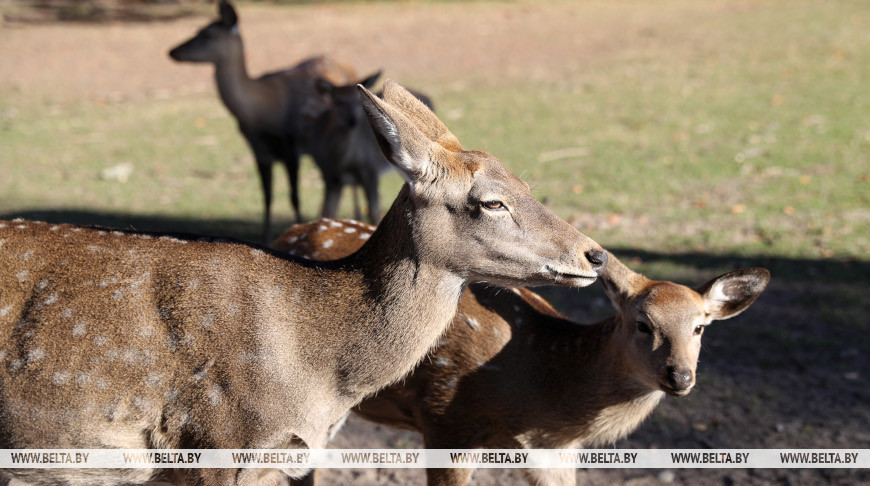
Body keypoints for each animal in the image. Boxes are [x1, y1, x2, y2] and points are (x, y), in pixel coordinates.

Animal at [169, 0, 360, 243]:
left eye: (207, 34)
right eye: (198, 29)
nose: (172, 51)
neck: (258, 112)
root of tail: (349, 65)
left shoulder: (291, 145)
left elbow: (294, 197)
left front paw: (299, 228)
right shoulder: (258, 149)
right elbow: (267, 197)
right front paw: (265, 238)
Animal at [272, 219, 768, 486]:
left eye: (700, 327)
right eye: (642, 323)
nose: (679, 376)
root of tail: (288, 234)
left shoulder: (554, 451)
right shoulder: (446, 416)